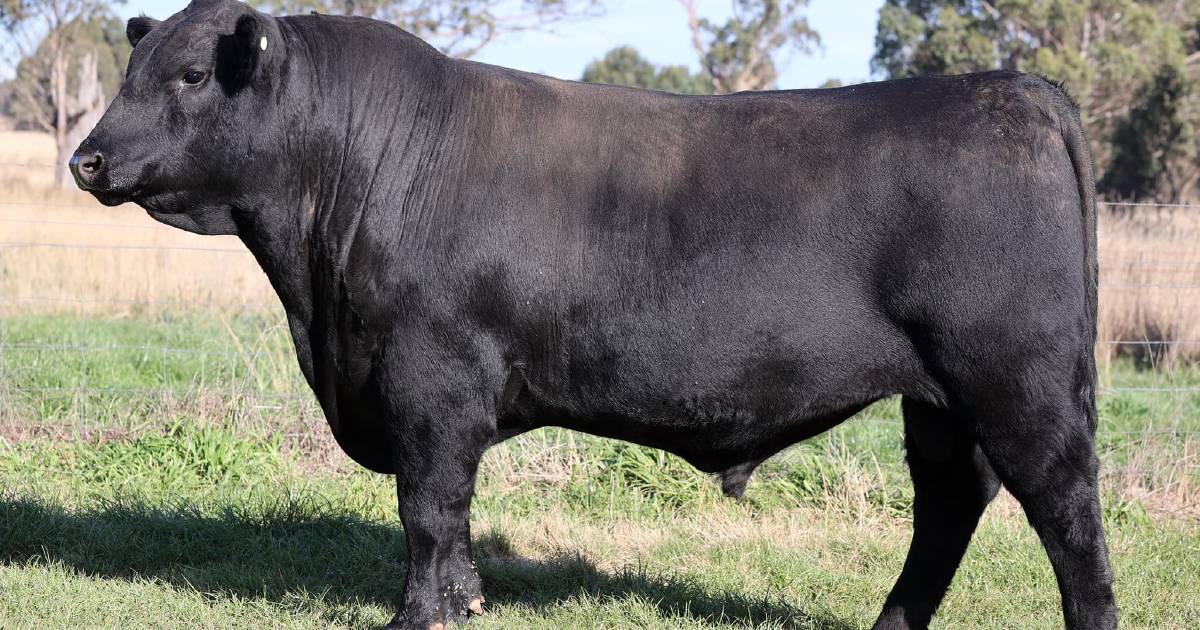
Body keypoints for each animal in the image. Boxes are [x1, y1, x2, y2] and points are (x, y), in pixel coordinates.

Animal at [68, 2, 1113, 624]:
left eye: (192, 76)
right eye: (131, 69)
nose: (85, 159)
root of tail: (1014, 88)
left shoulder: (429, 379)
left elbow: (428, 508)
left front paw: (417, 615)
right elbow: (453, 520)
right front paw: (467, 604)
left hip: (1017, 381)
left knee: (1066, 513)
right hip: (939, 401)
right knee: (949, 504)